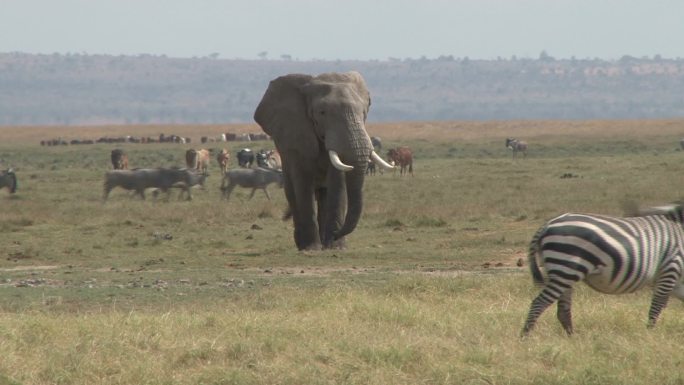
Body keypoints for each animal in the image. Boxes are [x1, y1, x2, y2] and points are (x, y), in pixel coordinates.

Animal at [255, 72, 396, 250]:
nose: (337, 234)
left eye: (364, 112)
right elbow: (302, 182)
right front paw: (311, 249)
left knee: (323, 195)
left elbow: (338, 181)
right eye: (322, 112)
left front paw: (336, 247)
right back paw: (305, 243)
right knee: (293, 194)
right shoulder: (295, 134)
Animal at [524, 204, 684, 336]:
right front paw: (649, 335)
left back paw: (573, 339)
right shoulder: (670, 268)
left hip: (563, 272)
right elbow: (656, 307)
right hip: (565, 268)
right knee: (539, 303)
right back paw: (525, 337)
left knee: (562, 310)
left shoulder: (676, 281)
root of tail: (547, 225)